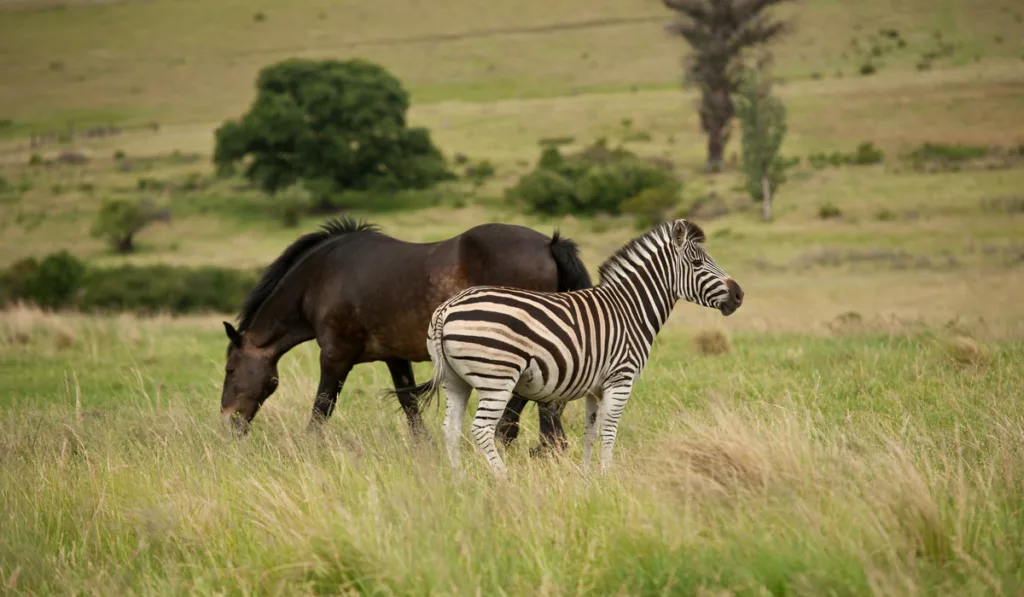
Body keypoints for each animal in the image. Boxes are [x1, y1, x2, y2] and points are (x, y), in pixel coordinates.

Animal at [220, 218, 598, 452]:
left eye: (230, 370)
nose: (229, 423)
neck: (322, 278)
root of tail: (549, 244)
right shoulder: (394, 355)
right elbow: (409, 402)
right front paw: (423, 448)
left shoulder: (335, 355)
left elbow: (322, 406)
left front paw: (309, 446)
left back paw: (524, 440)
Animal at [399, 219, 745, 477]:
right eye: (698, 262)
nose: (739, 295)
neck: (630, 309)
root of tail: (447, 309)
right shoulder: (620, 380)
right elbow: (609, 430)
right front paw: (607, 476)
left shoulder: (595, 387)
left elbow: (590, 432)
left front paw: (588, 476)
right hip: (497, 379)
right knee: (481, 429)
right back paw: (502, 479)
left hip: (455, 380)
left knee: (450, 428)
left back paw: (459, 481)